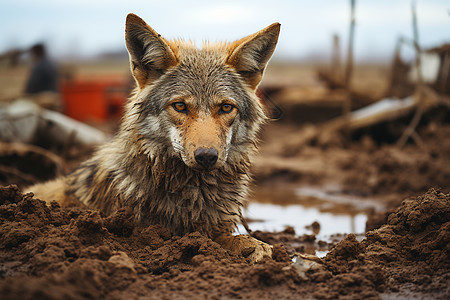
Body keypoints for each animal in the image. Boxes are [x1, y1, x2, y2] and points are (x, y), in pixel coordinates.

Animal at [28, 14, 280, 262]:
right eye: (179, 106)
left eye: (226, 107)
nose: (207, 156)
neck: (193, 193)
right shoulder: (147, 231)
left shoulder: (218, 227)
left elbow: (242, 240)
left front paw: (259, 248)